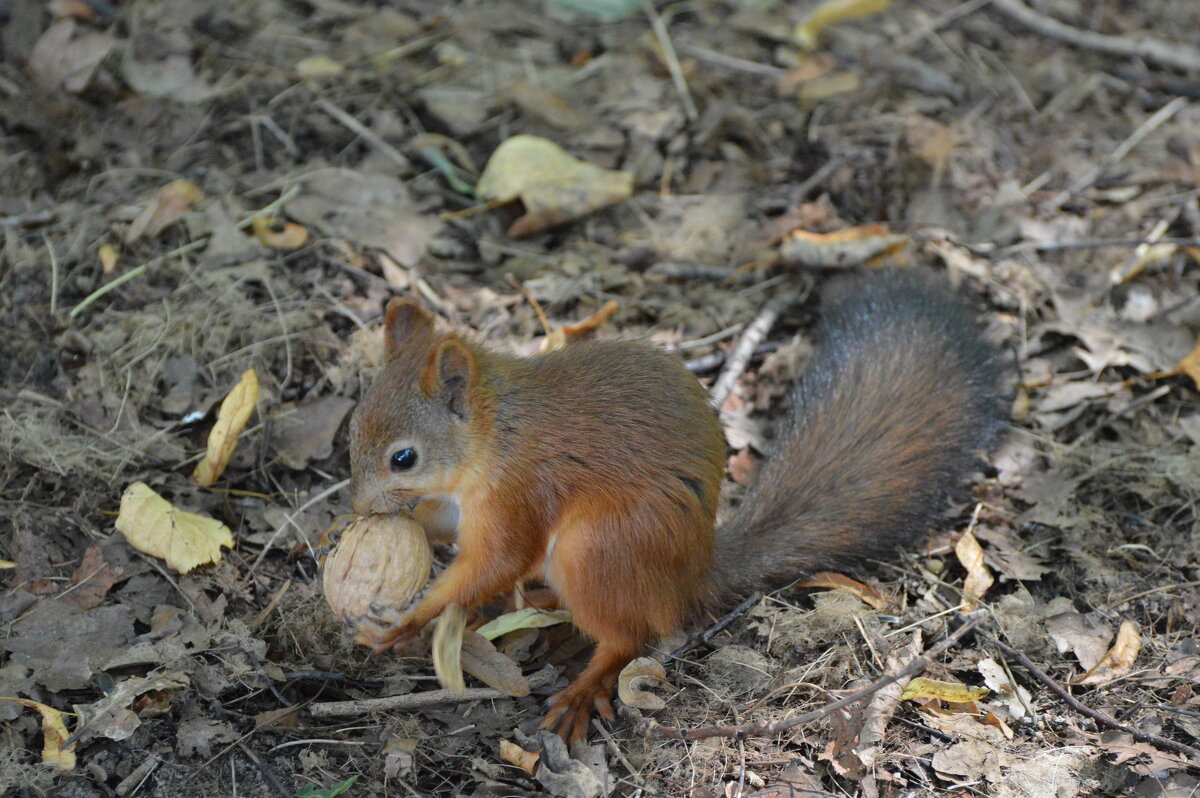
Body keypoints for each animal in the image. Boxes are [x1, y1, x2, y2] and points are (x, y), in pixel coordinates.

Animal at [350, 267, 1008, 739]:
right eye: (355, 423)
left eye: (403, 457)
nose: (359, 506)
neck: (494, 435)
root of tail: (690, 575)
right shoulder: (459, 501)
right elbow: (446, 526)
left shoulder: (519, 493)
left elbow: (497, 559)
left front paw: (405, 620)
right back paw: (534, 603)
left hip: (599, 549)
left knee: (630, 637)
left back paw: (582, 685)